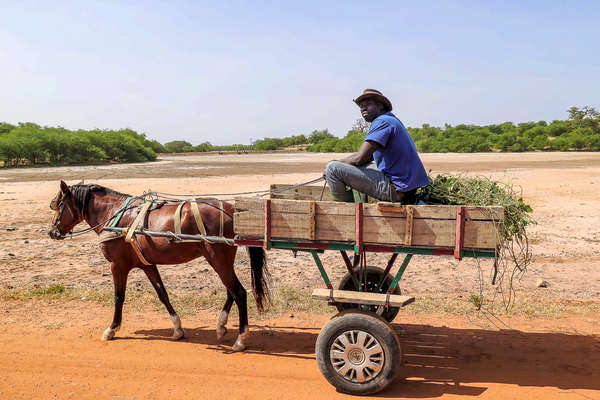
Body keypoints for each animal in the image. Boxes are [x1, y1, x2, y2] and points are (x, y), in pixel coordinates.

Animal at [49, 180, 270, 352]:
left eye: (58, 205)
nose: (52, 232)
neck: (114, 215)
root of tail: (231, 209)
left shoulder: (117, 265)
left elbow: (119, 297)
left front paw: (112, 329)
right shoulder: (148, 265)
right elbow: (162, 294)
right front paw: (177, 328)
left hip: (217, 258)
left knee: (239, 292)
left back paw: (240, 339)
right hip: (219, 260)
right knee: (231, 291)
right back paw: (221, 325)